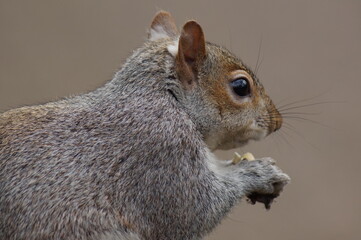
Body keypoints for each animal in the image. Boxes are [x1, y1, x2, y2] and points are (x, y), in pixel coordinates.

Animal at [0, 11, 286, 240]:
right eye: (241, 86)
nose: (277, 121)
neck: (167, 99)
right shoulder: (161, 150)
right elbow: (194, 210)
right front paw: (257, 172)